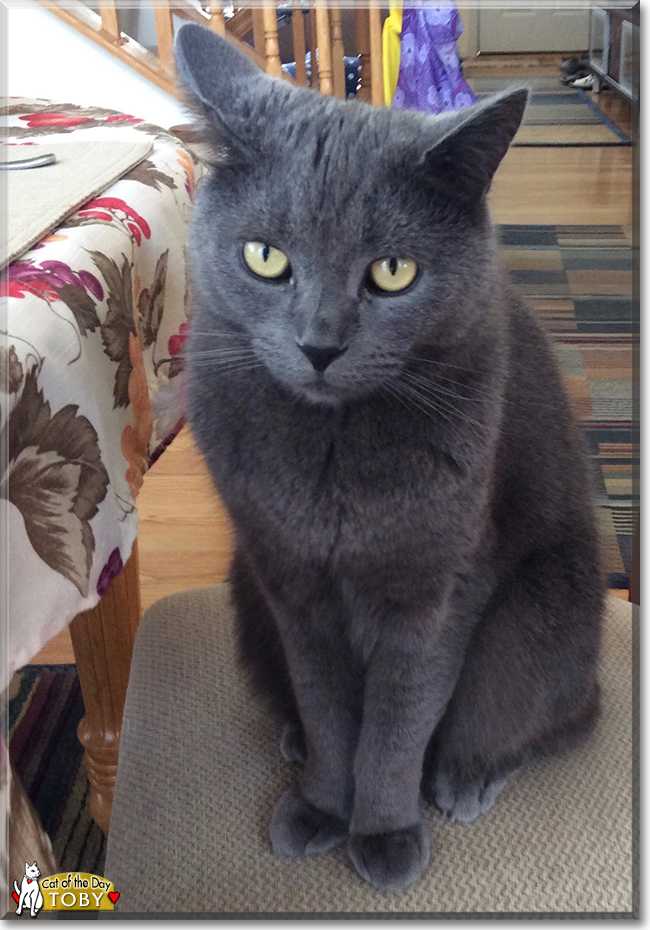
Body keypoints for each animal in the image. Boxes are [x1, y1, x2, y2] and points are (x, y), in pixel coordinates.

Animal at [173, 23, 604, 892]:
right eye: (265, 257)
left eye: (393, 272)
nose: (319, 345)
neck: (331, 456)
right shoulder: (289, 581)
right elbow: (329, 706)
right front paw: (322, 807)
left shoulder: (438, 586)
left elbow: (399, 724)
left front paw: (382, 833)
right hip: (245, 595)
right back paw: (295, 742)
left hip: (542, 614)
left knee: (551, 717)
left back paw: (468, 776)